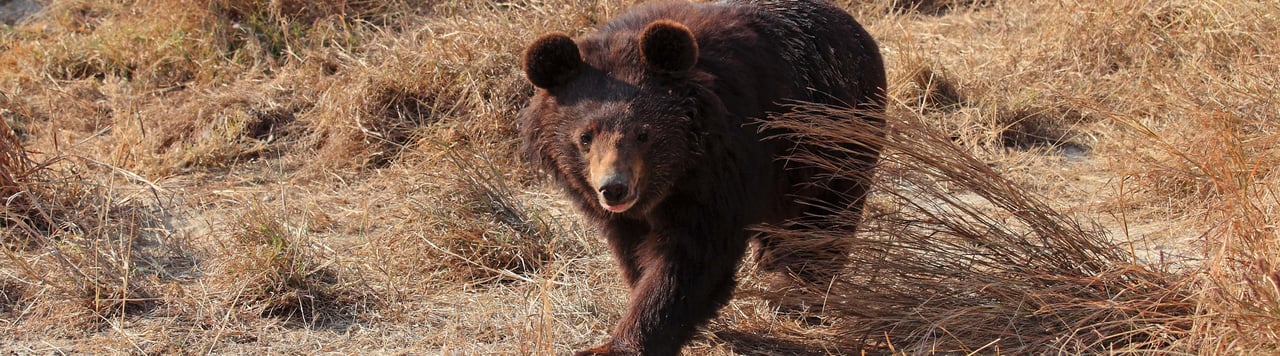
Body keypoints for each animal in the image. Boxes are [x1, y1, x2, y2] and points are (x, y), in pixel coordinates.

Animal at [514, 0, 885, 353]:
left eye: (643, 133)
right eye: (585, 137)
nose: (614, 189)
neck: (677, 173)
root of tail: (858, 31)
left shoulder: (724, 169)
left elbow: (692, 257)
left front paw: (622, 342)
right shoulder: (622, 214)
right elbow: (633, 251)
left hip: (834, 139)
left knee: (824, 221)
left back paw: (795, 296)